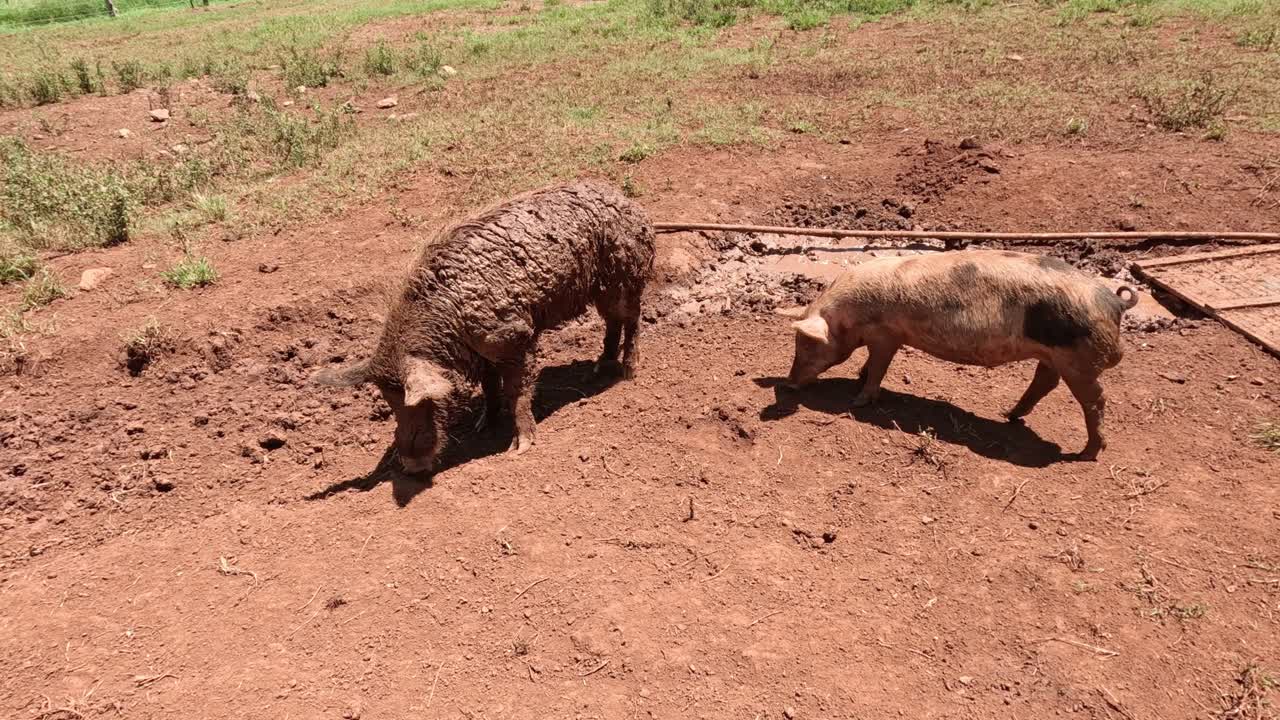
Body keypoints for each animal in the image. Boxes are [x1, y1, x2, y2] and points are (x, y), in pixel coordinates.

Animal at [311, 180, 655, 473]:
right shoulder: (481, 353)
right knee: (612, 322)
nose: (409, 467)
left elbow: (518, 392)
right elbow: (490, 386)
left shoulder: (516, 337)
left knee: (632, 320)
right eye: (388, 402)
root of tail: (629, 201)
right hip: (602, 287)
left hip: (626, 274)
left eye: (418, 400)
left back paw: (628, 372)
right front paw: (483, 424)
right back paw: (596, 370)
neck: (450, 329)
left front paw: (519, 448)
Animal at [776, 250, 1140, 460]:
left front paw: (858, 399)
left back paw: (1088, 453)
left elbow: (879, 366)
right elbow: (872, 364)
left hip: (1079, 362)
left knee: (1095, 400)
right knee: (1044, 382)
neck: (851, 315)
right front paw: (859, 377)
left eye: (806, 345)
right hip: (1055, 356)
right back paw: (1009, 415)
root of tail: (1114, 302)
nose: (789, 384)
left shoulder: (886, 335)